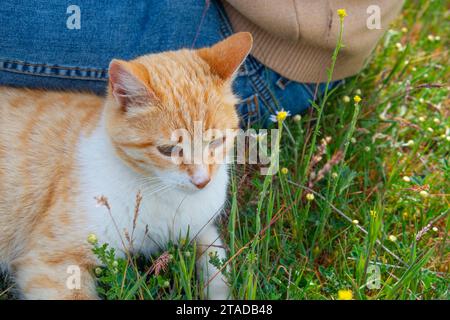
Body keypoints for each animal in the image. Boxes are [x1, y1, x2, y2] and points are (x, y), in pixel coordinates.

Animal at [0, 31, 253, 298]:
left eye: (216, 141)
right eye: (168, 150)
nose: (202, 181)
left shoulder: (199, 226)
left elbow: (217, 257)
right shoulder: (51, 264)